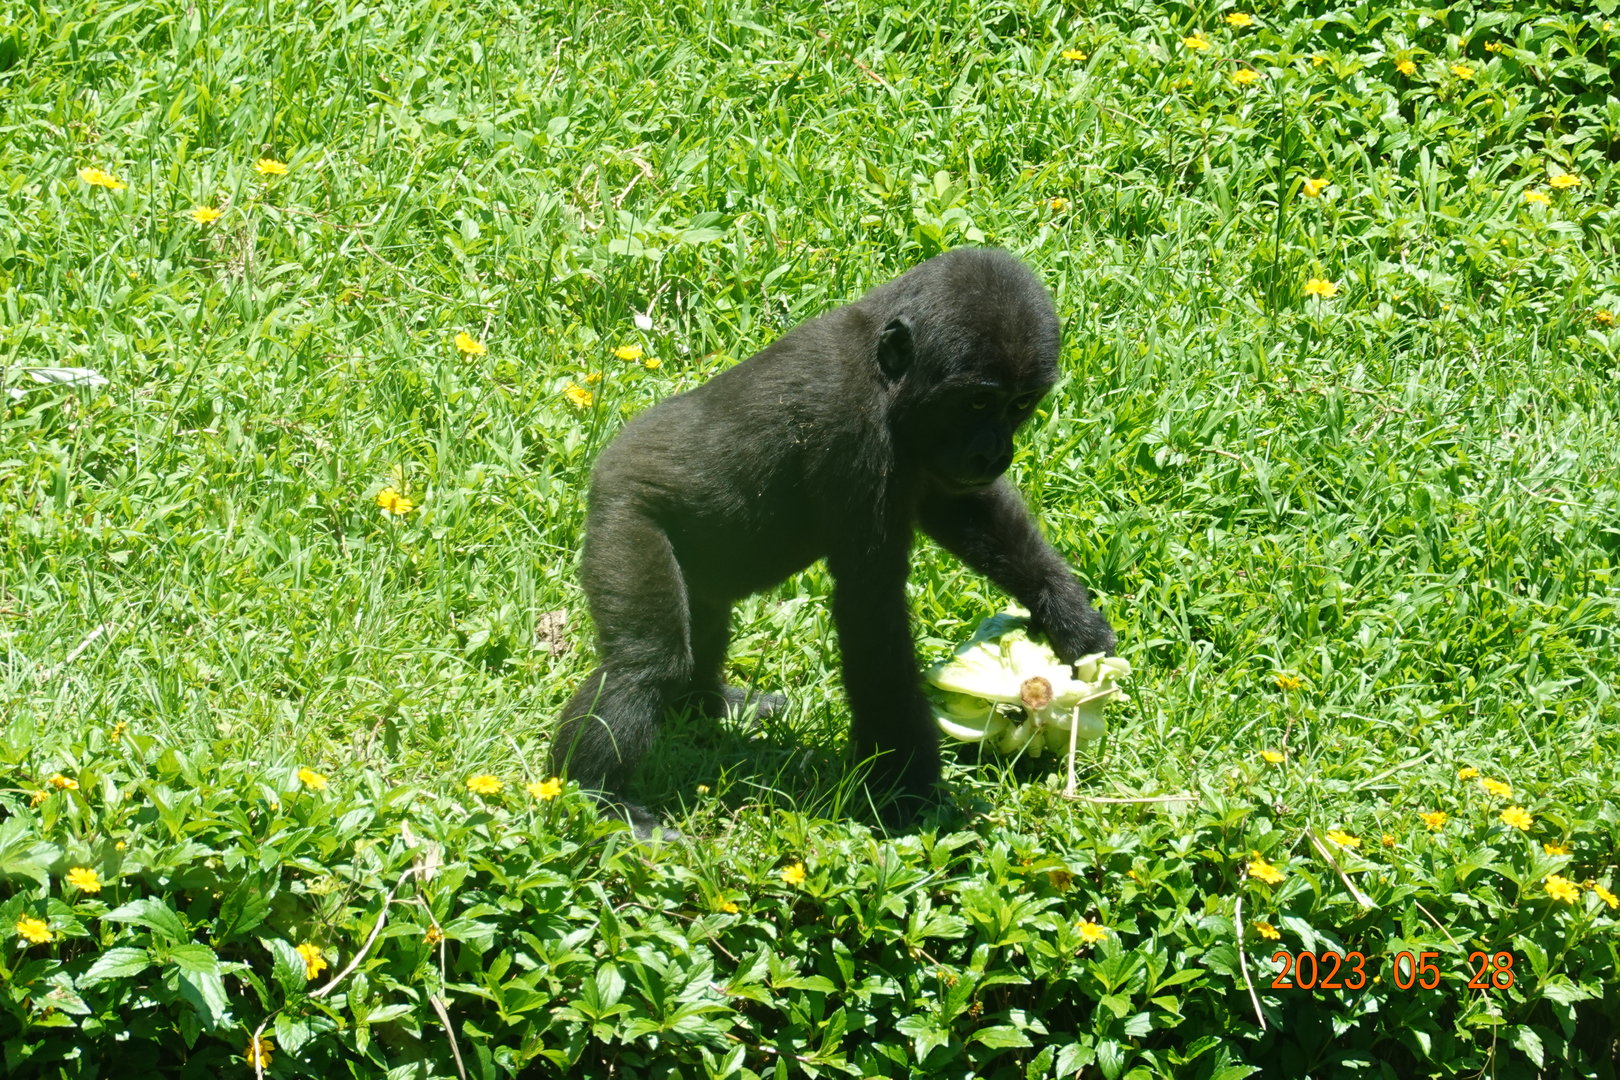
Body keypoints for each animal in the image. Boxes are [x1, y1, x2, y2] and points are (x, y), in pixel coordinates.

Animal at [548, 247, 1116, 838]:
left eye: (1021, 403)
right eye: (979, 403)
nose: (994, 455)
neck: (885, 373)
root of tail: (606, 463)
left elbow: (962, 509)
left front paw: (1068, 616)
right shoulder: (854, 432)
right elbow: (872, 614)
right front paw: (909, 791)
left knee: (701, 622)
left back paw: (710, 706)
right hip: (625, 514)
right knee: (646, 662)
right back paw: (597, 795)